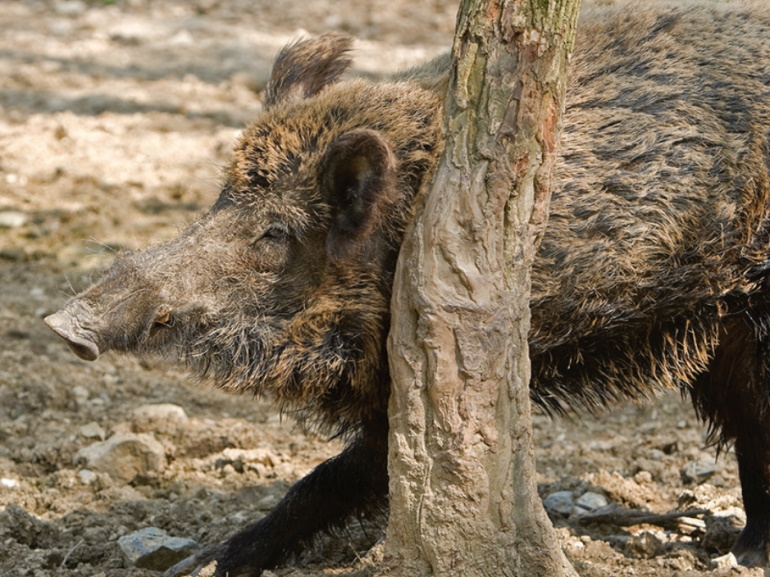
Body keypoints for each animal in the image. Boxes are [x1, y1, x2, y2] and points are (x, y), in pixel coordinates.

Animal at [44, 2, 770, 575]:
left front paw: (210, 562)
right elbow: (340, 475)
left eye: (275, 233)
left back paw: (743, 555)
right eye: (220, 200)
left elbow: (343, 473)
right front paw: (206, 561)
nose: (63, 323)